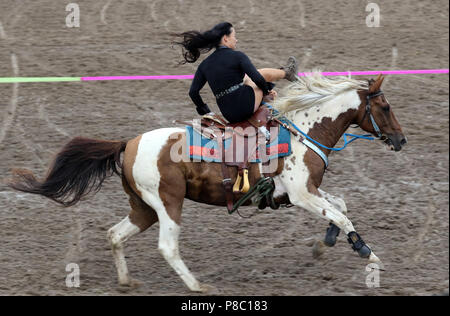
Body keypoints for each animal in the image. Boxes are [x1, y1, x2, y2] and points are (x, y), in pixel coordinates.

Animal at [7, 73, 408, 292]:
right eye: (386, 107)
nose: (401, 141)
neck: (304, 130)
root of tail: (128, 143)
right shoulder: (300, 194)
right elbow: (341, 214)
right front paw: (367, 253)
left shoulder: (305, 192)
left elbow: (339, 205)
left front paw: (325, 243)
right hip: (168, 204)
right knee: (168, 247)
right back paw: (198, 285)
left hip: (143, 208)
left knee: (115, 235)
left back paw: (126, 282)